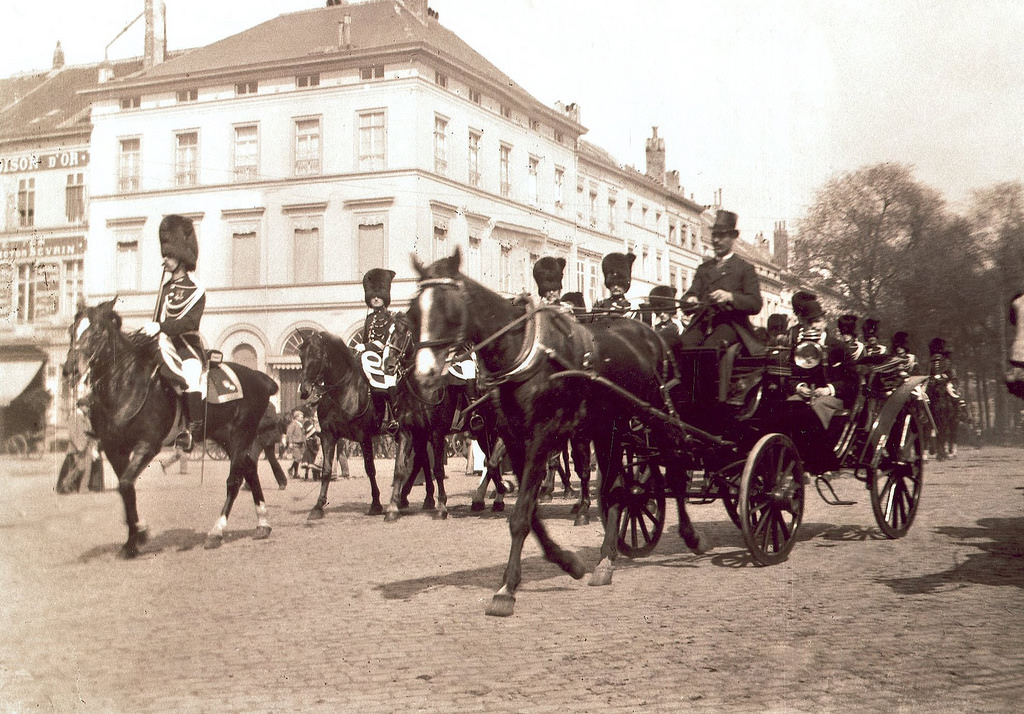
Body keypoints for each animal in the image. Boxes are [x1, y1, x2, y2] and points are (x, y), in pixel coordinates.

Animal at [64, 297, 280, 561]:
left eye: (96, 333)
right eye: (72, 331)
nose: (70, 370)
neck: (126, 384)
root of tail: (261, 378)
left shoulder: (147, 445)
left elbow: (125, 484)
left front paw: (137, 536)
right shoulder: (114, 448)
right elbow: (126, 488)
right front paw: (135, 538)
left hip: (241, 434)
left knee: (234, 480)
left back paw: (217, 532)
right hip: (226, 438)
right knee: (249, 469)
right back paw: (263, 524)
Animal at [407, 248, 704, 614]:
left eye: (447, 310)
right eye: (413, 312)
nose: (424, 375)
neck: (525, 353)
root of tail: (651, 336)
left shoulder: (543, 436)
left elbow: (522, 513)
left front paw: (506, 589)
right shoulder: (515, 441)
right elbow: (528, 510)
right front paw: (567, 562)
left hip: (653, 413)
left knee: (673, 467)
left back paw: (690, 535)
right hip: (608, 426)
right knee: (617, 487)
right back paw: (605, 559)